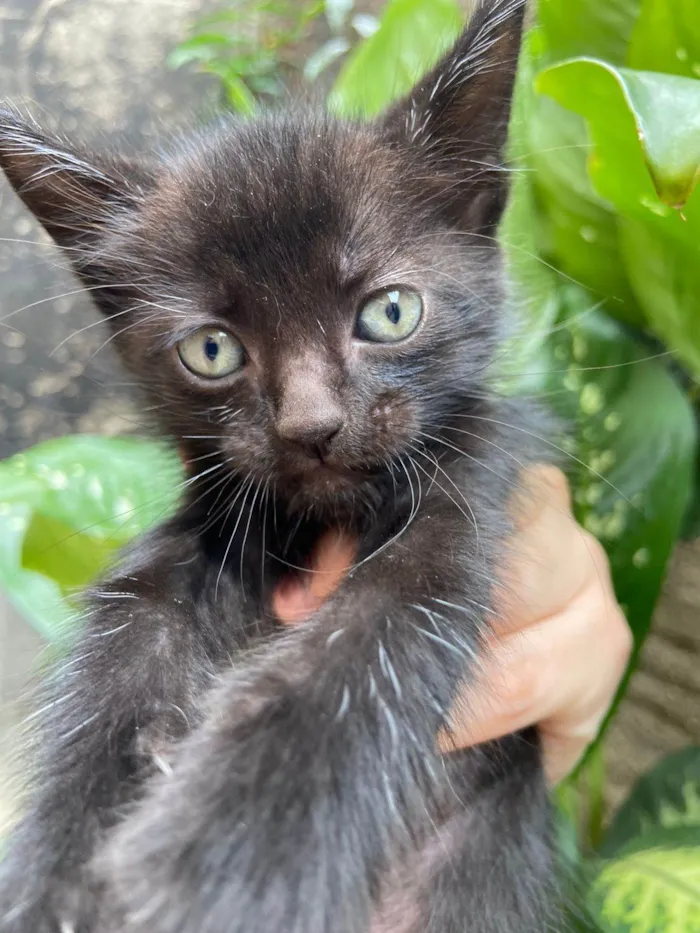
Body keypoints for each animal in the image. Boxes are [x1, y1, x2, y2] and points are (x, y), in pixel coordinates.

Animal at [0, 1, 556, 932]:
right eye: (213, 350)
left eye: (389, 312)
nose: (312, 426)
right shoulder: (193, 532)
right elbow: (122, 654)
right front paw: (60, 879)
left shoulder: (474, 482)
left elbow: (384, 625)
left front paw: (230, 853)